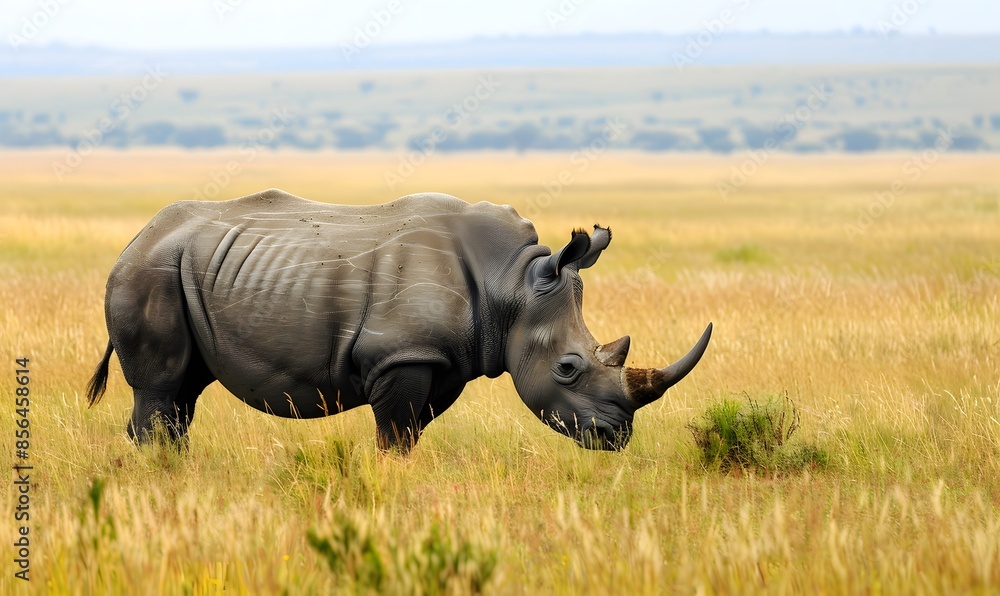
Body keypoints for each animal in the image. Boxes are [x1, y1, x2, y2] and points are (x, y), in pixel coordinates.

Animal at [87, 189, 711, 452]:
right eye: (566, 369)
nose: (617, 437)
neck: (509, 281)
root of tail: (135, 237)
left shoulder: (442, 360)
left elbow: (408, 435)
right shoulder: (399, 355)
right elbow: (392, 435)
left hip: (182, 269)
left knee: (183, 394)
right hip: (150, 271)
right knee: (162, 391)